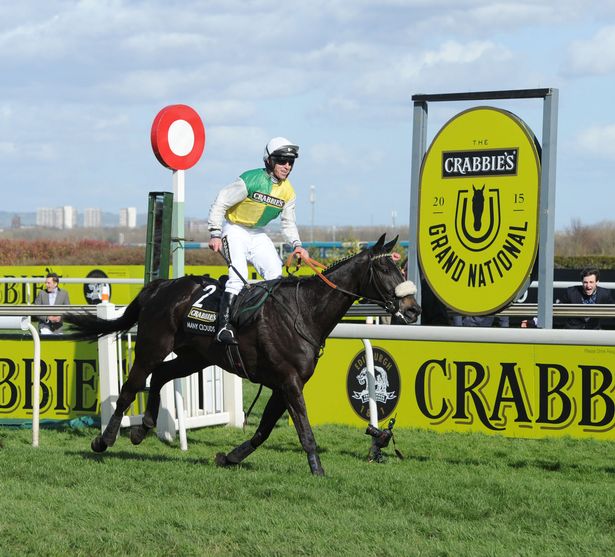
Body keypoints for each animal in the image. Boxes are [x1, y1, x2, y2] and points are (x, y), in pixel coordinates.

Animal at [66, 233, 424, 474]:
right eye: (386, 271)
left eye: (402, 270)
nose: (413, 309)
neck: (304, 311)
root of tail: (159, 286)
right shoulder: (289, 382)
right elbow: (304, 430)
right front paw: (318, 470)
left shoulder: (283, 385)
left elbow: (264, 430)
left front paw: (229, 457)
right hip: (152, 348)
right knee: (129, 390)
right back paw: (104, 440)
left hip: (195, 356)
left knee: (162, 375)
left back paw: (144, 428)